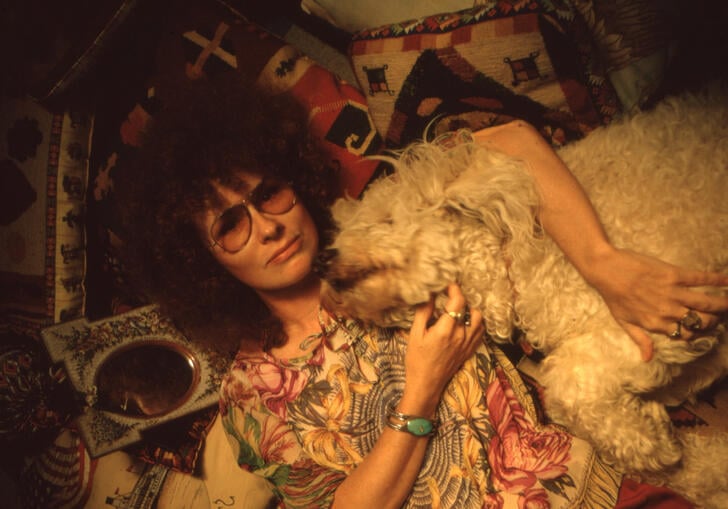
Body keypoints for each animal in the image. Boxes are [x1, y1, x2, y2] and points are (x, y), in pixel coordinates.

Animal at [322, 87, 728, 504]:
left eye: (383, 220)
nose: (325, 258)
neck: (513, 263)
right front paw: (662, 445)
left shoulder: (652, 316)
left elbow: (567, 383)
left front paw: (654, 444)